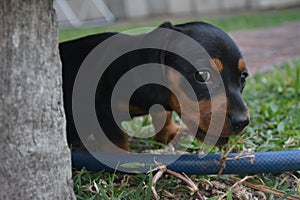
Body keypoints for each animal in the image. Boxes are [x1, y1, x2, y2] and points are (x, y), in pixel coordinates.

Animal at [59, 21, 250, 151]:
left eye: (243, 77)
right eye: (202, 75)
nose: (242, 122)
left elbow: (163, 113)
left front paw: (169, 133)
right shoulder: (103, 108)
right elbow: (116, 138)